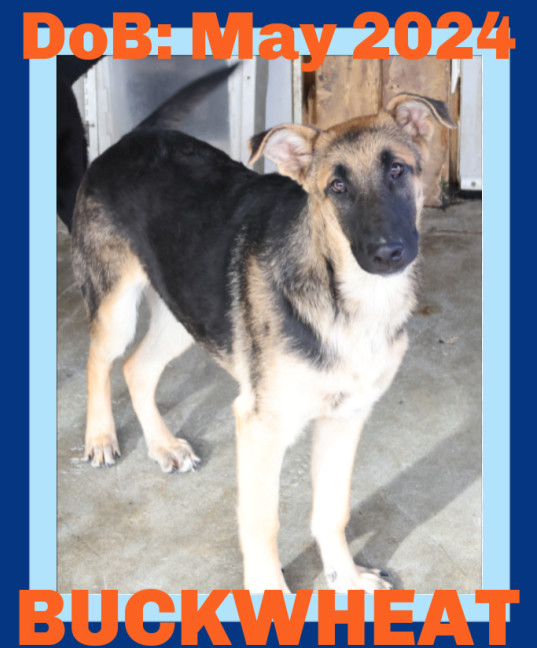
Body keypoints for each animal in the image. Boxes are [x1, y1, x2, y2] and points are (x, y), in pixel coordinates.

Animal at [71, 90, 454, 592]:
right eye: (337, 187)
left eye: (397, 170)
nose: (387, 253)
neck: (345, 299)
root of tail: (133, 137)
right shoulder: (260, 426)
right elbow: (262, 520)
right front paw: (271, 593)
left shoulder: (345, 418)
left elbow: (333, 509)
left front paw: (346, 579)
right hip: (117, 305)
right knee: (99, 359)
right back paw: (99, 436)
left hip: (185, 308)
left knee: (137, 368)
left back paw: (163, 445)